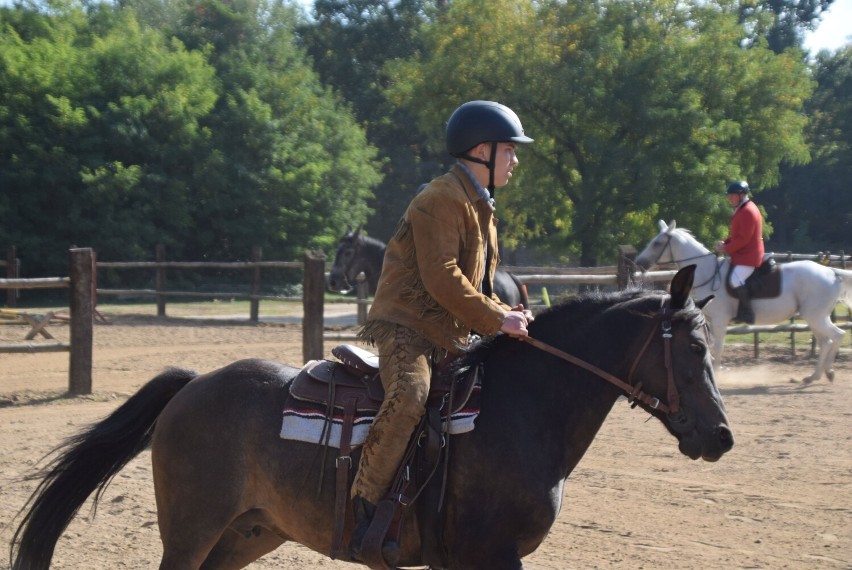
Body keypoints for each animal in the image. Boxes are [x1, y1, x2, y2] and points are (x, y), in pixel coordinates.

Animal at [8, 266, 732, 568]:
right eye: (695, 349)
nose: (722, 435)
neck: (520, 411)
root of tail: (194, 384)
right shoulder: (491, 554)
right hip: (191, 531)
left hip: (247, 533)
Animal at [632, 219, 852, 382]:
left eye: (657, 243)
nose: (638, 263)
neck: (707, 272)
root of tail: (831, 272)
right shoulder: (709, 321)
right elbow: (709, 346)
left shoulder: (720, 321)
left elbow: (717, 347)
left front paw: (716, 374)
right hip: (815, 318)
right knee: (826, 341)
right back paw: (818, 375)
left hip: (815, 317)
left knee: (837, 335)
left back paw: (824, 373)